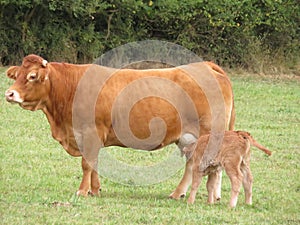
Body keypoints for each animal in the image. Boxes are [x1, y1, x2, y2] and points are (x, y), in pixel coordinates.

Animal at [4, 54, 234, 197]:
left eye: (32, 76)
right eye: (17, 75)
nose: (9, 93)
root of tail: (206, 65)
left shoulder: (90, 132)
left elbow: (87, 163)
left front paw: (82, 191)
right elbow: (94, 163)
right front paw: (94, 190)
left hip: (210, 133)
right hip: (188, 138)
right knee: (194, 164)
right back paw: (181, 193)